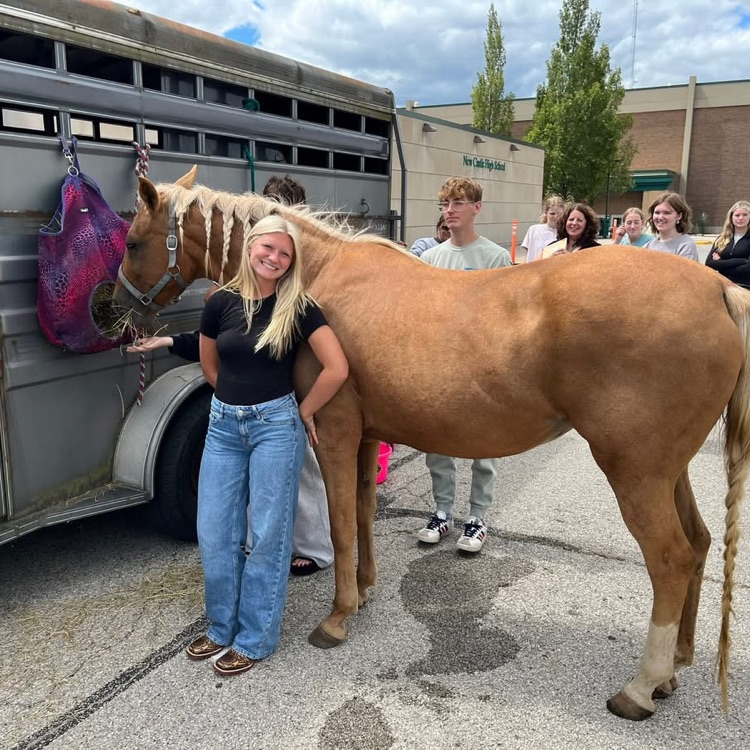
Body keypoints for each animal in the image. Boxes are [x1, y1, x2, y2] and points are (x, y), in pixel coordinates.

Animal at [113, 167, 749, 721]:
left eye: (133, 242)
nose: (108, 311)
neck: (317, 277)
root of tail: (717, 288)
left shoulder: (334, 430)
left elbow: (340, 524)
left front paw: (337, 618)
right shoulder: (364, 436)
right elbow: (363, 513)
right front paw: (364, 591)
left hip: (634, 471)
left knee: (670, 559)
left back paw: (640, 688)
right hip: (667, 470)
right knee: (697, 543)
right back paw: (673, 669)